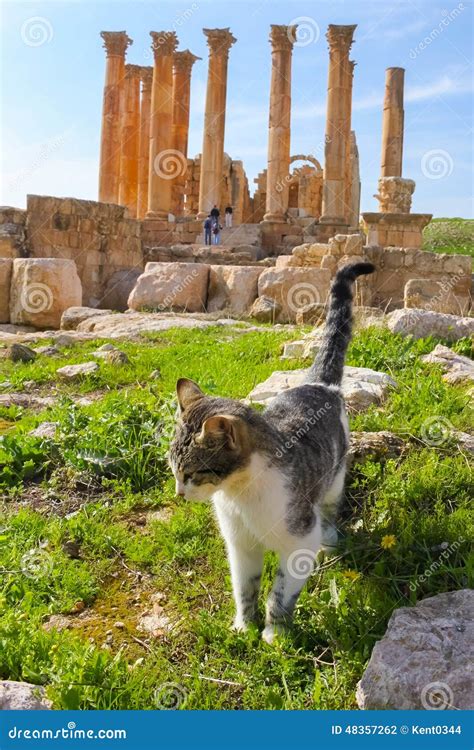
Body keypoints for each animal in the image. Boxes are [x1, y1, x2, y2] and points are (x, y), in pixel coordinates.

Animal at [169, 262, 374, 644]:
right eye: (173, 469)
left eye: (192, 473)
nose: (179, 494)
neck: (240, 496)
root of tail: (319, 383)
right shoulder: (240, 545)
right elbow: (245, 587)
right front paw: (243, 626)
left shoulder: (299, 542)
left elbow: (279, 593)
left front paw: (274, 634)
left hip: (334, 479)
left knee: (330, 509)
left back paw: (331, 542)